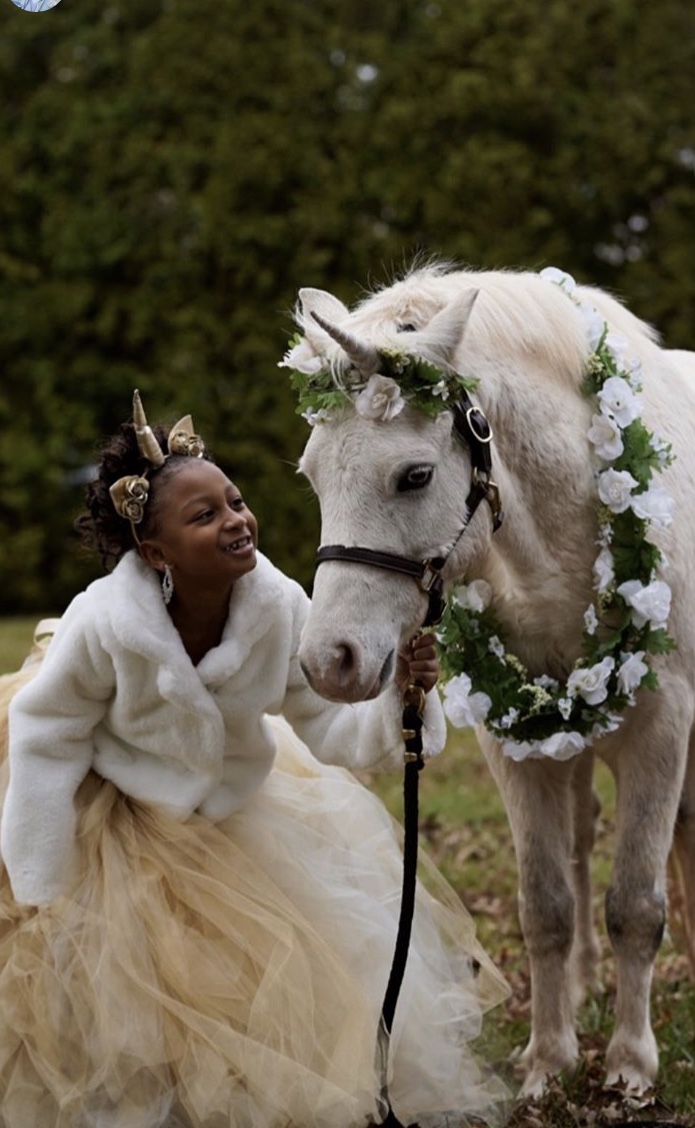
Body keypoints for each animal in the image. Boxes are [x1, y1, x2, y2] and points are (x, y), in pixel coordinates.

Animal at [286, 261, 695, 1091]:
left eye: (414, 476)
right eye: (312, 475)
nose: (328, 661)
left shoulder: (662, 728)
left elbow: (636, 903)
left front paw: (630, 1063)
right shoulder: (514, 744)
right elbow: (545, 904)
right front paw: (548, 1056)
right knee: (578, 847)